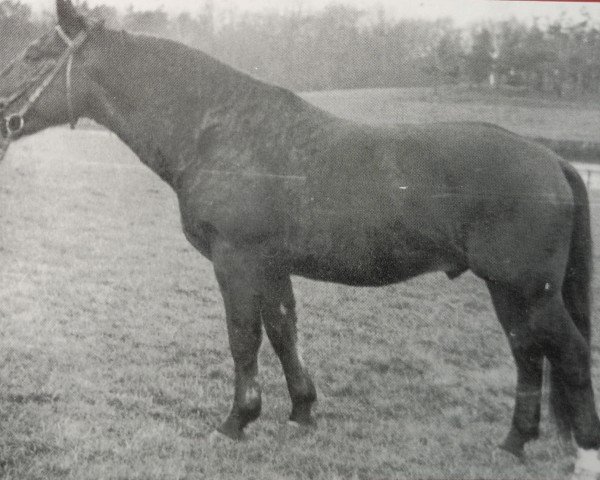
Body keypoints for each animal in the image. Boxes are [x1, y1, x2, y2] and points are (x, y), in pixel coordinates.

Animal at [1, 0, 600, 476]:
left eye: (33, 55)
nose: (2, 115)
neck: (217, 129)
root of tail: (553, 161)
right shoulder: (271, 266)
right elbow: (284, 332)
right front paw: (301, 412)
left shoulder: (236, 260)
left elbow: (244, 336)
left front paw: (236, 421)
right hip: (509, 290)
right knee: (528, 353)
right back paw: (514, 442)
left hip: (529, 289)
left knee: (568, 352)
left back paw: (582, 453)